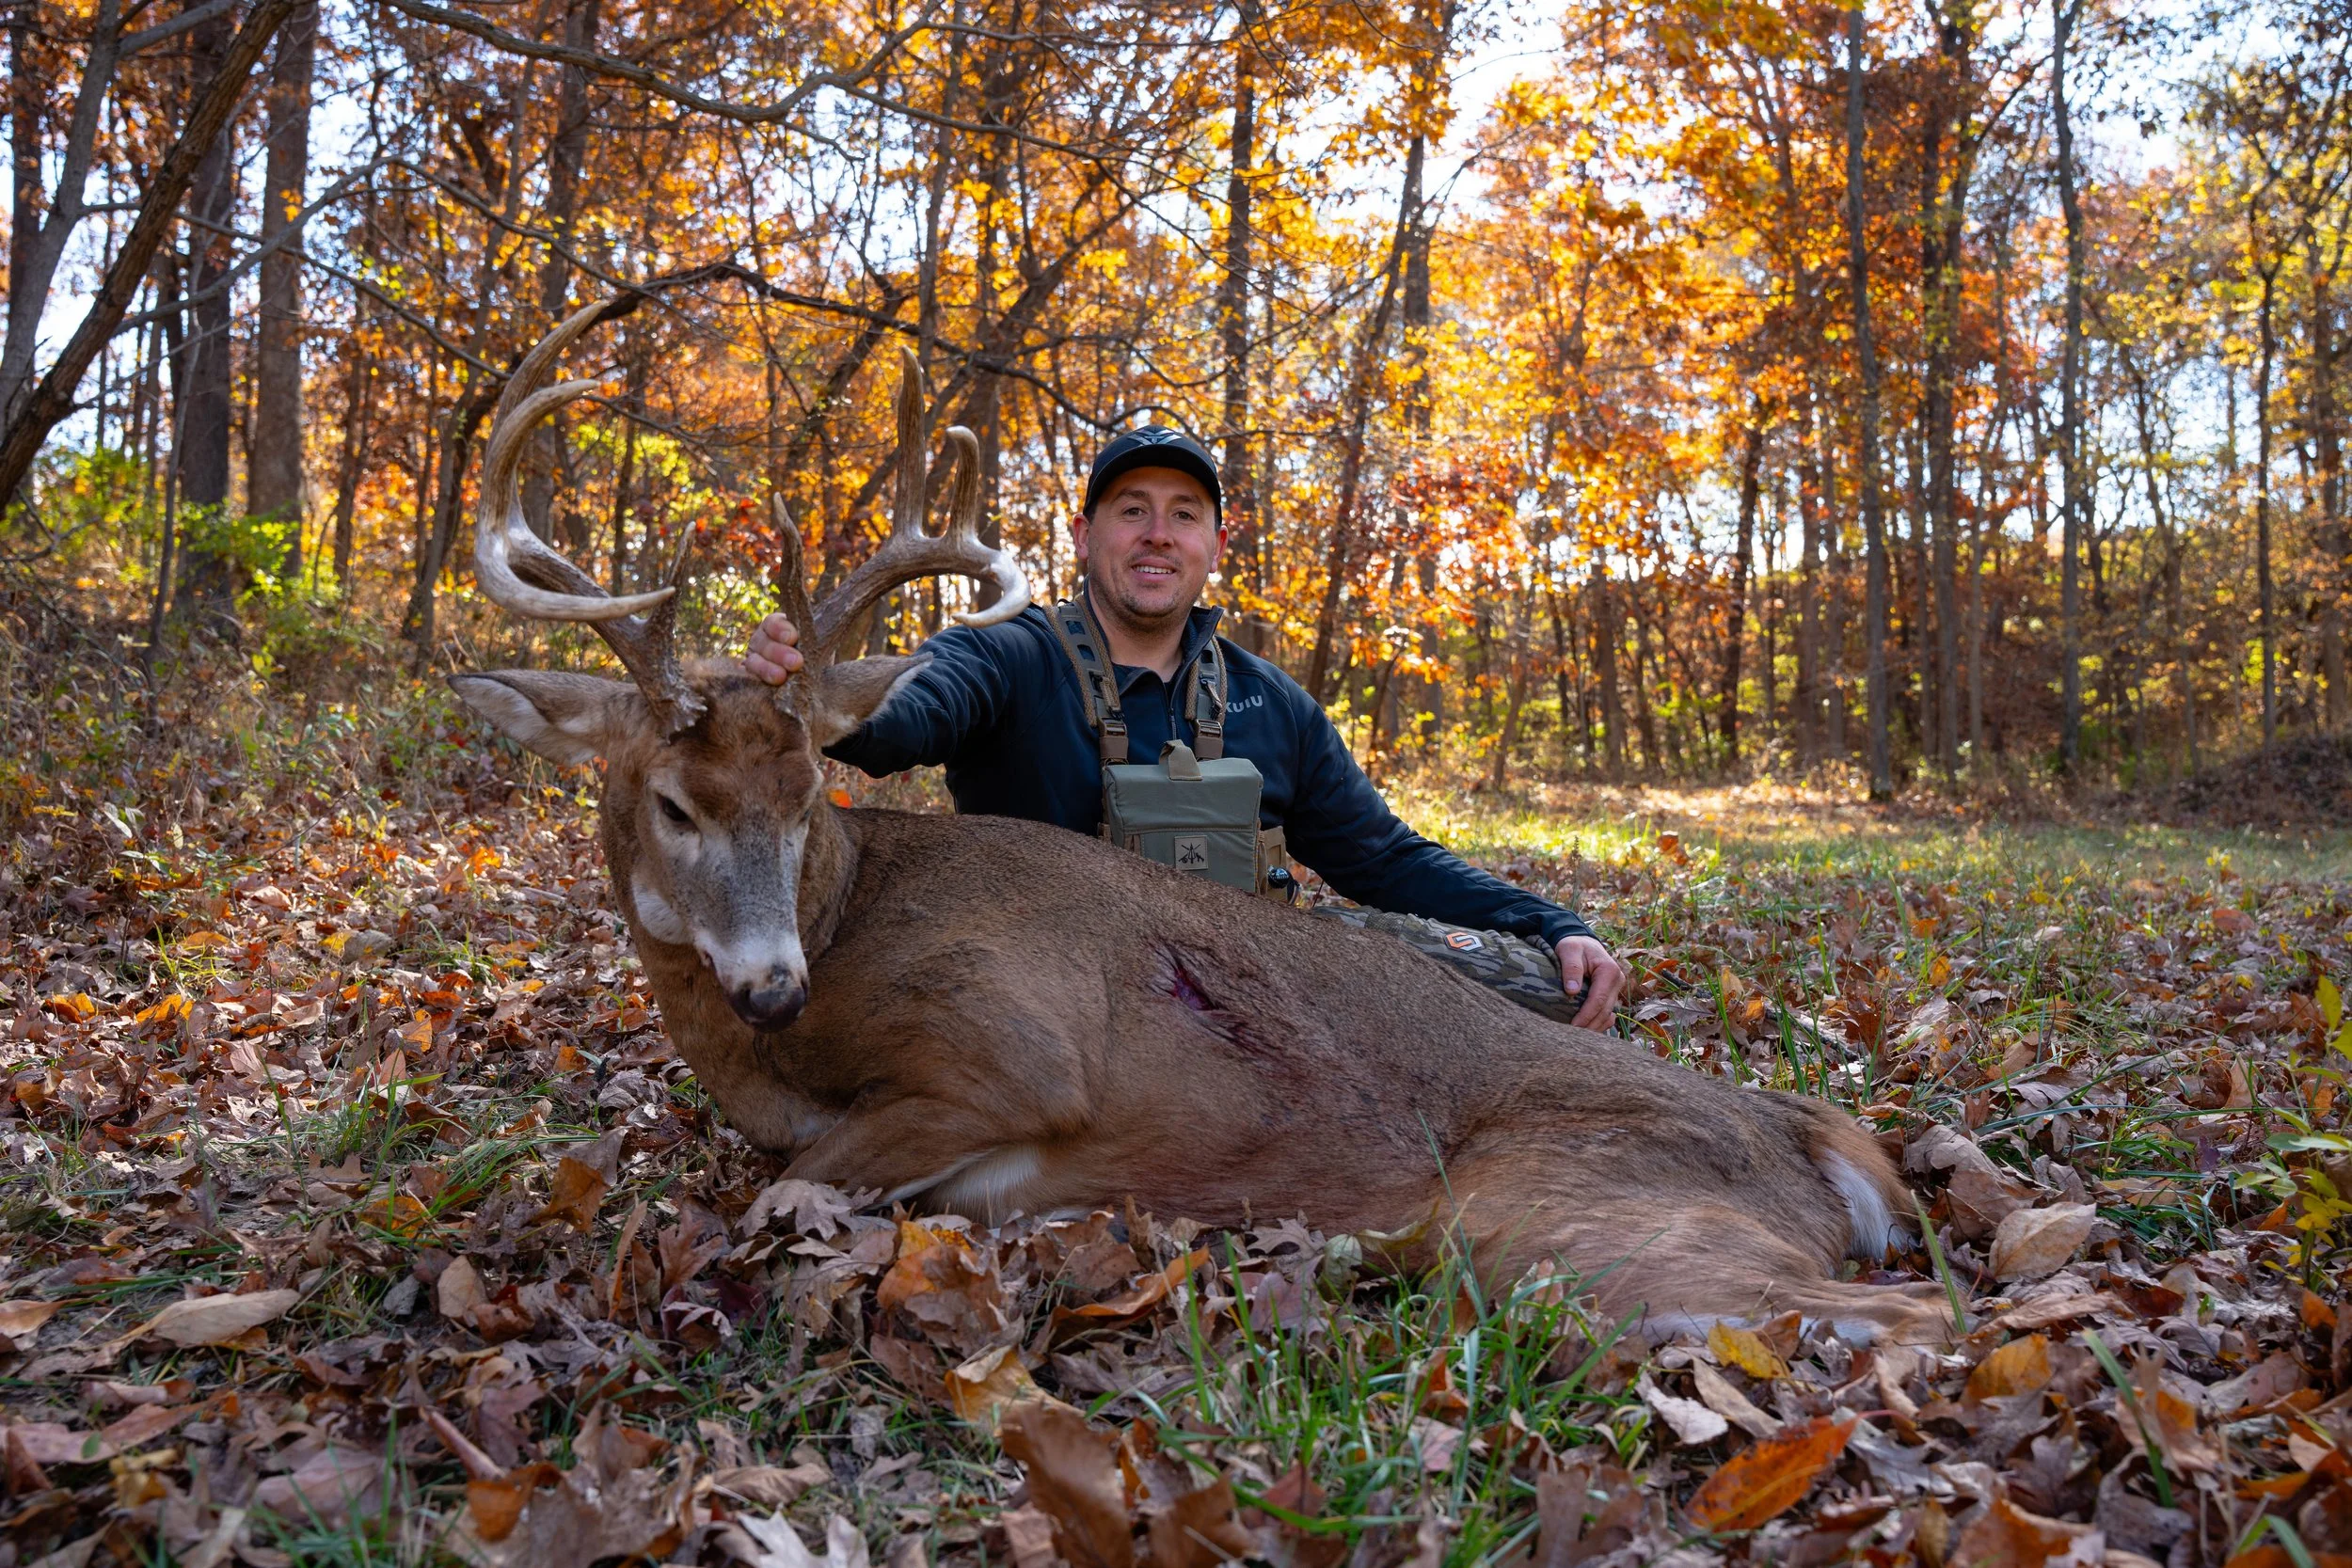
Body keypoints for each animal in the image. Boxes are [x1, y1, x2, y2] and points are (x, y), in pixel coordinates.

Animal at [450, 290, 1954, 1346]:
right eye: (672, 798)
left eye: (806, 789)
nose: (769, 980)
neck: (833, 947)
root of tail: (1824, 1137)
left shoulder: (1008, 1056)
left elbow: (783, 1189)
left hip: (1555, 1220)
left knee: (1898, 1313)